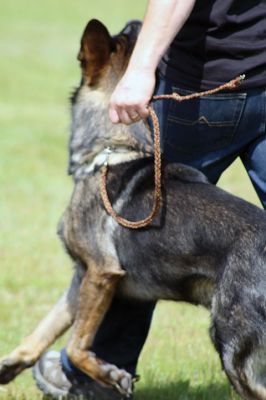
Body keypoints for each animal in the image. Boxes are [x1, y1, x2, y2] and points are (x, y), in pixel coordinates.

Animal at [1, 19, 266, 400]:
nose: (135, 22)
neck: (110, 149)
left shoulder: (101, 274)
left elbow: (76, 346)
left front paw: (109, 374)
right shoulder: (81, 276)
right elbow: (44, 329)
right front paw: (9, 365)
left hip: (232, 345)